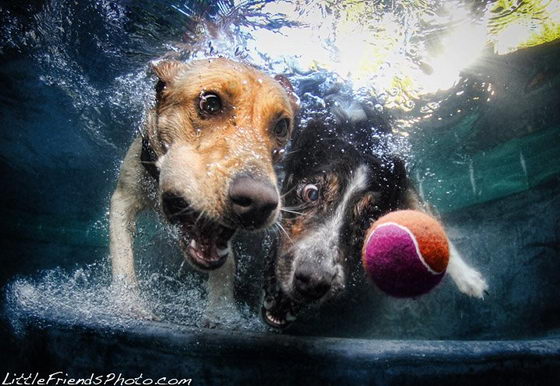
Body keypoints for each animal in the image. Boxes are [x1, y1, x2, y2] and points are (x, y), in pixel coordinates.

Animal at [110, 57, 300, 322]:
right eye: (210, 103)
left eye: (281, 127)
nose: (259, 204)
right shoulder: (123, 198)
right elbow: (122, 254)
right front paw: (127, 302)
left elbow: (226, 267)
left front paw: (223, 312)